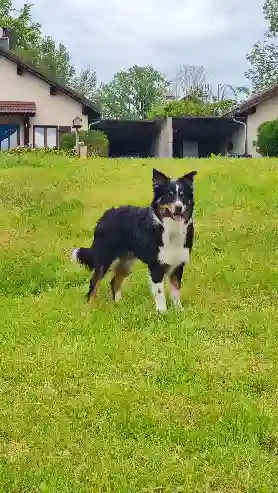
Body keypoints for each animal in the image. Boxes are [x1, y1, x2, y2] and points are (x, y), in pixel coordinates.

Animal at [71, 166, 198, 312]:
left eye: (182, 195)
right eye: (169, 195)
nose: (178, 207)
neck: (171, 228)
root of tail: (105, 215)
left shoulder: (178, 263)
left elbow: (176, 290)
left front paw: (178, 311)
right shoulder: (156, 266)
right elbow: (160, 292)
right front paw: (162, 312)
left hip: (126, 260)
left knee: (114, 281)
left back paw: (119, 304)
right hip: (105, 258)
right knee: (94, 281)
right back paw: (90, 306)